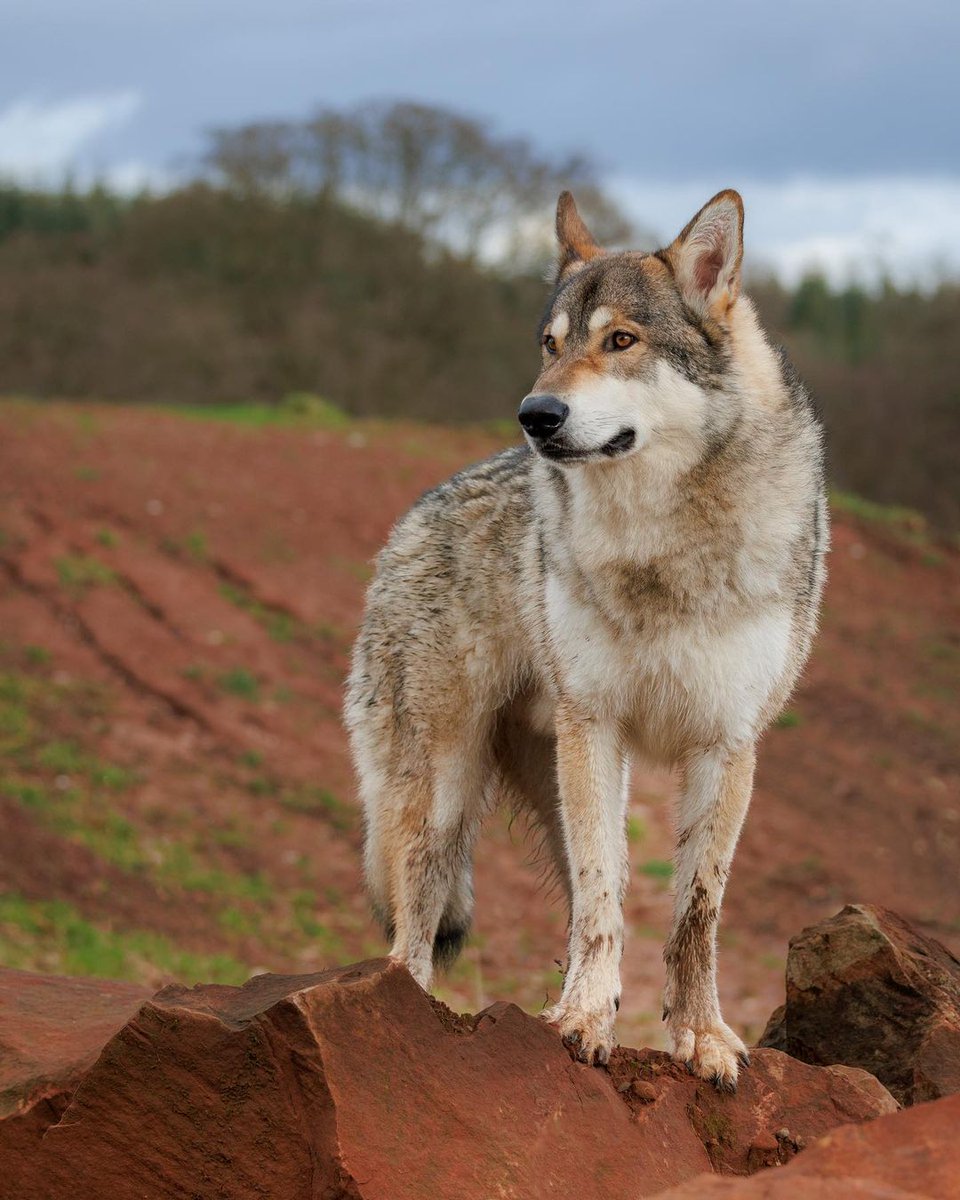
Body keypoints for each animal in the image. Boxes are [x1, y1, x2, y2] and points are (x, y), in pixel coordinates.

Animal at [345, 188, 827, 1089]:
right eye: (551, 345)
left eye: (621, 341)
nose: (537, 415)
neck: (662, 543)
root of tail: (413, 515)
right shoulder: (597, 728)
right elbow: (607, 899)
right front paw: (578, 1023)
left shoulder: (727, 745)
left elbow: (695, 915)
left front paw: (700, 1038)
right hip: (446, 786)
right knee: (416, 920)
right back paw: (408, 1010)